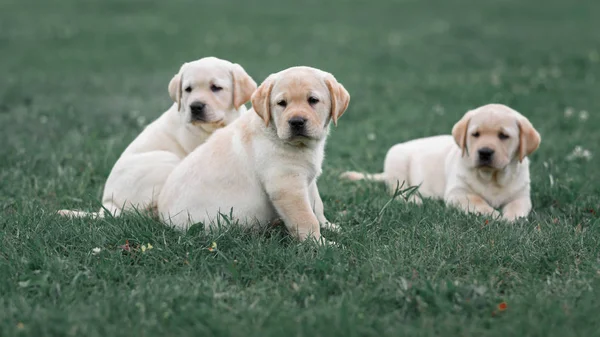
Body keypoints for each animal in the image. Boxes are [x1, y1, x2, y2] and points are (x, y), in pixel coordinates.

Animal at [157, 65, 350, 240]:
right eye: (282, 103)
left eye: (313, 100)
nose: (296, 122)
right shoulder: (287, 185)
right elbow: (306, 218)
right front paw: (320, 244)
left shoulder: (307, 180)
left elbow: (317, 206)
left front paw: (330, 226)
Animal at [340, 103, 540, 222]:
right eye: (475, 134)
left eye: (503, 136)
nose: (484, 152)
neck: (492, 177)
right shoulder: (458, 193)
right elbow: (479, 202)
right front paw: (495, 215)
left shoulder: (521, 196)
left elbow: (517, 207)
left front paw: (510, 218)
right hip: (397, 160)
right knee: (398, 192)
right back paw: (415, 199)